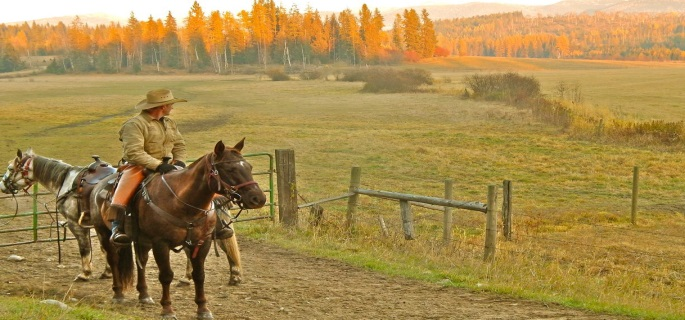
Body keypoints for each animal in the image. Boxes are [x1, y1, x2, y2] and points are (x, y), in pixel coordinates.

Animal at [89, 139, 264, 318]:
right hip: (104, 234)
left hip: (142, 240)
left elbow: (199, 275)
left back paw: (144, 295)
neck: (181, 202)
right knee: (113, 260)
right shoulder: (160, 243)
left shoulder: (202, 242)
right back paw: (118, 294)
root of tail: (98, 186)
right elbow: (166, 275)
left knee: (141, 262)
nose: (258, 198)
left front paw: (203, 309)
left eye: (249, 167)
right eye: (230, 169)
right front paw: (167, 310)